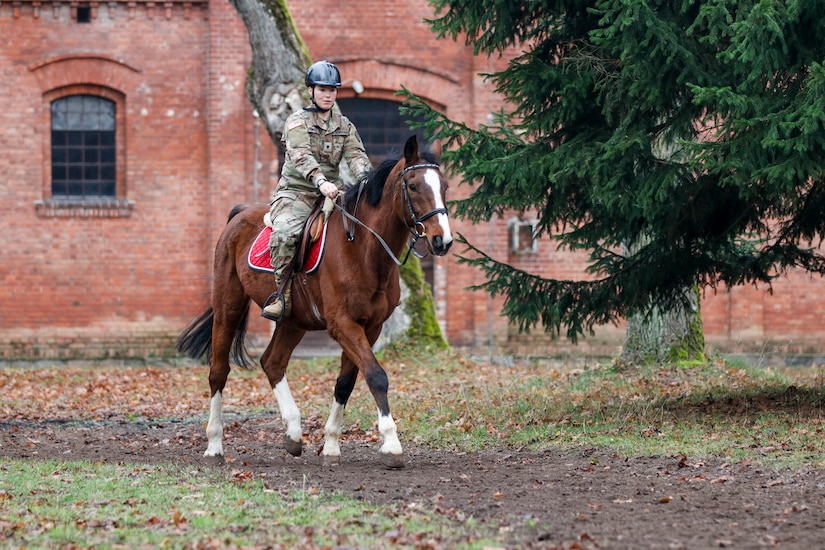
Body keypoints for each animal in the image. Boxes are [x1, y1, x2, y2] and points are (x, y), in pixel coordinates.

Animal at [176, 137, 454, 470]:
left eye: (445, 186)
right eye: (412, 186)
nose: (442, 241)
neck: (362, 248)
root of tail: (240, 214)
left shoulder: (370, 326)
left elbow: (346, 382)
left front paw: (332, 446)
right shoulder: (343, 324)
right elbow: (376, 376)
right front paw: (391, 444)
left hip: (293, 321)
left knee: (272, 362)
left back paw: (294, 433)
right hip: (228, 307)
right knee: (218, 370)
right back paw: (215, 445)